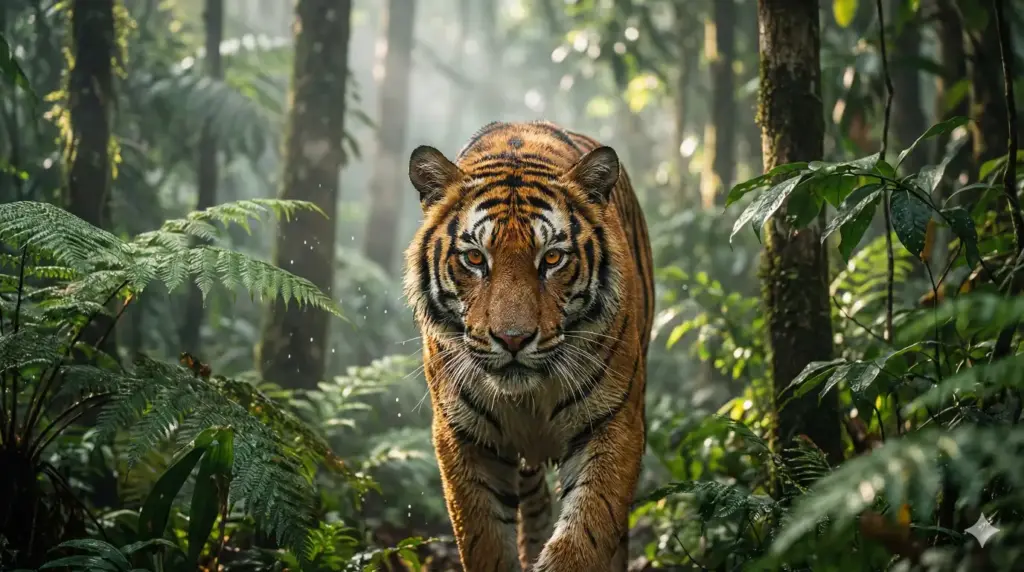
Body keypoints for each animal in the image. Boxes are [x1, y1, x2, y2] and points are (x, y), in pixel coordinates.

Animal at [403, 120, 654, 572]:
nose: (513, 339)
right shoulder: (463, 436)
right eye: (474, 258)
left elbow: (587, 533)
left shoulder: (614, 422)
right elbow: (484, 540)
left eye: (552, 259)